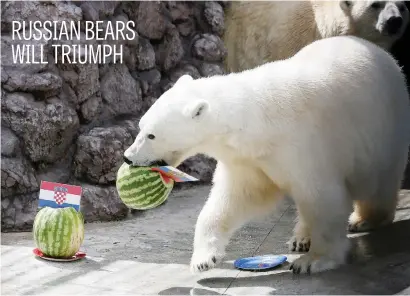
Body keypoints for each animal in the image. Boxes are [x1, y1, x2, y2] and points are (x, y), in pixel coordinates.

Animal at [122, 35, 410, 274]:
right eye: (140, 126)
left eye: (151, 135)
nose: (127, 156)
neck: (260, 120)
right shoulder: (249, 158)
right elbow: (236, 197)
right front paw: (204, 259)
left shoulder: (305, 143)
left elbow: (323, 196)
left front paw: (313, 261)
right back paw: (301, 238)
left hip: (383, 129)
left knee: (377, 183)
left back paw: (364, 220)